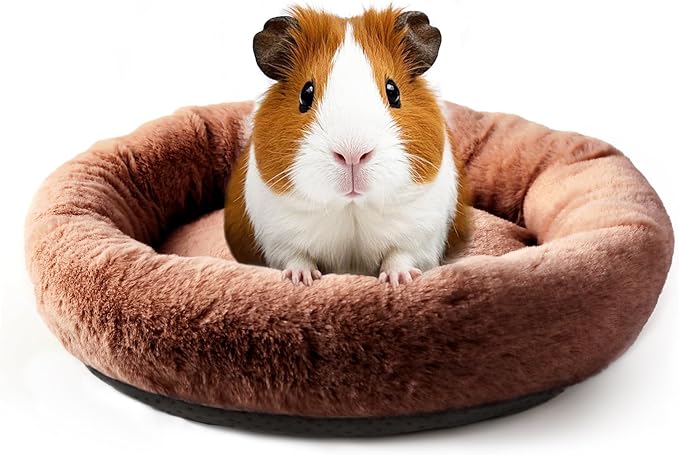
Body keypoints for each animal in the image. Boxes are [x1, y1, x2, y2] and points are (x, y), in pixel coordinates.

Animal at [225, 6, 467, 287]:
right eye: (306, 94)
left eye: (393, 91)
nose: (353, 154)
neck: (351, 209)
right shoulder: (279, 238)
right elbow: (296, 257)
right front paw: (303, 279)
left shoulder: (420, 236)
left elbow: (399, 255)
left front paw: (400, 280)